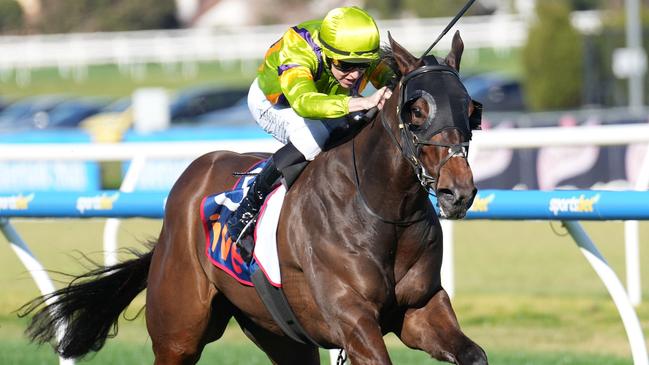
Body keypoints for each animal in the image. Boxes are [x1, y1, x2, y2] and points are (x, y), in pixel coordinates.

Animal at [20, 32, 486, 362]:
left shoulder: (420, 309)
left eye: (471, 109)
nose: (457, 192)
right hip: (179, 331)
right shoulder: (352, 320)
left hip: (279, 332)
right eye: (416, 111)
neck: (382, 207)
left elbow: (473, 354)